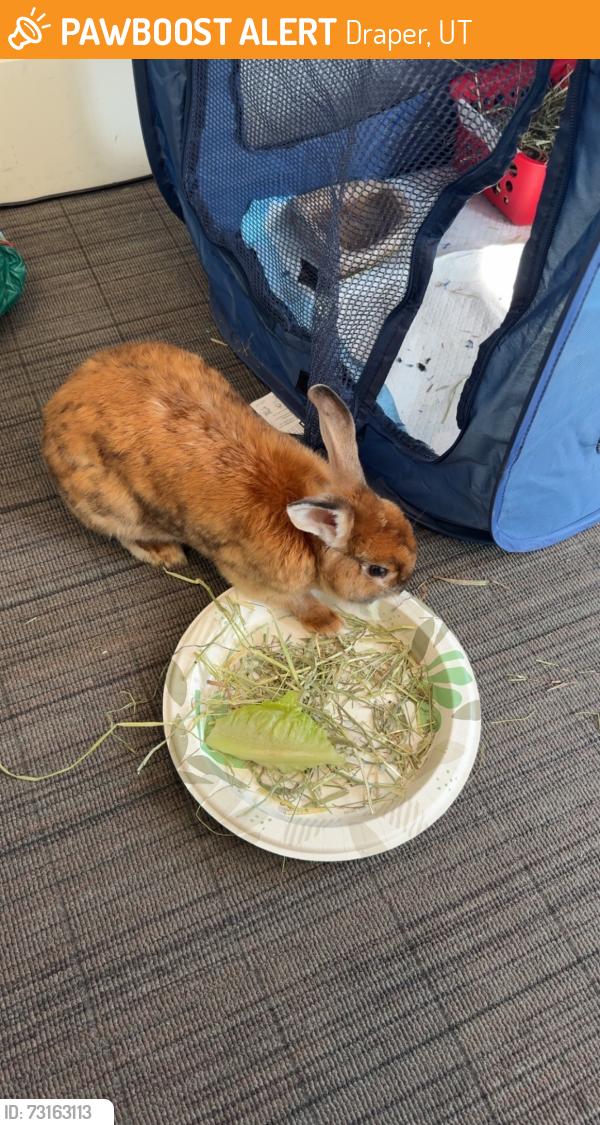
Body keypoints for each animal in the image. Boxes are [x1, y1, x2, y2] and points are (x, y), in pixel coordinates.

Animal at [42, 341, 417, 634]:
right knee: (125, 534)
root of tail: (53, 411)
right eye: (377, 570)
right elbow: (297, 600)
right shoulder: (251, 576)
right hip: (116, 507)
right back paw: (166, 553)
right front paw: (328, 623)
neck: (309, 539)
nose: (405, 582)